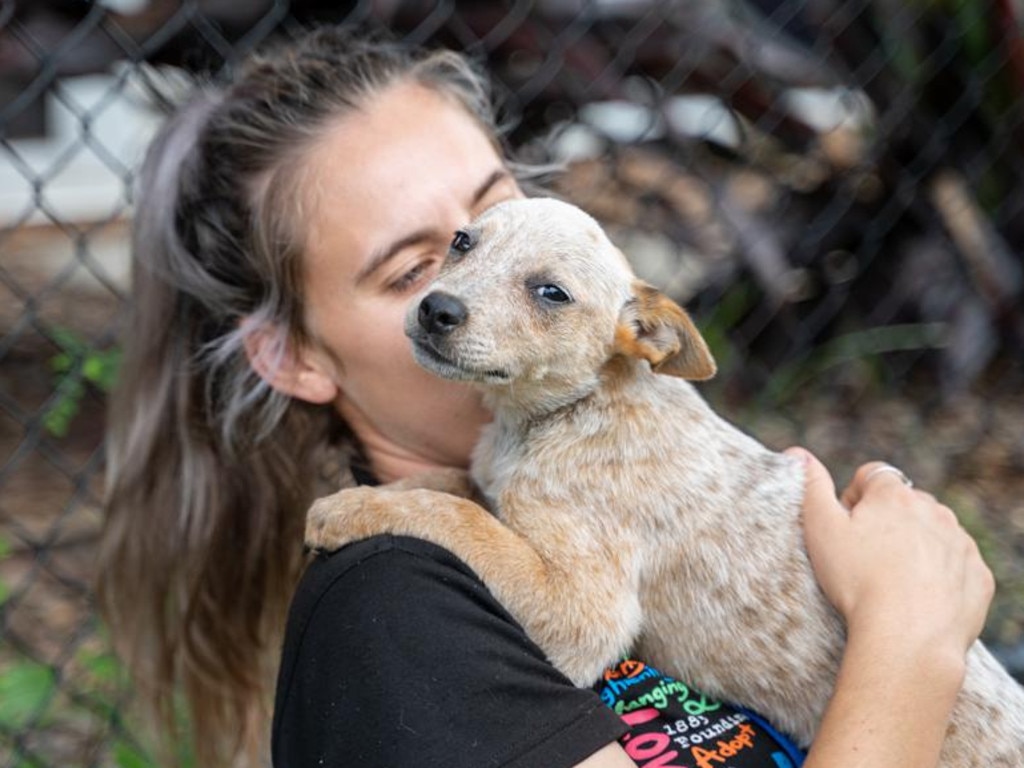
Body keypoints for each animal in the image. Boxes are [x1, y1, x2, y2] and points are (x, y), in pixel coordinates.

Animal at [307, 196, 1024, 765]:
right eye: (461, 242)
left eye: (551, 293)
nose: (436, 309)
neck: (558, 416)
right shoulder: (489, 481)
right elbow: (452, 483)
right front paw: (362, 493)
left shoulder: (583, 615)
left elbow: (461, 517)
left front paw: (348, 510)